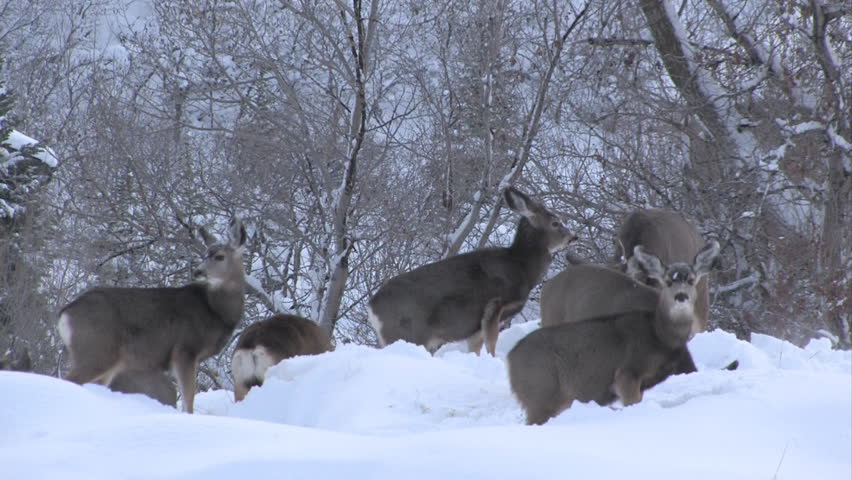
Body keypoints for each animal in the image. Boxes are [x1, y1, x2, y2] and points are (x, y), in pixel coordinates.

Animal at [57, 217, 247, 413]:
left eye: (219, 256)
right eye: (205, 255)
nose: (197, 272)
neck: (215, 311)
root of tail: (65, 314)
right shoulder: (185, 349)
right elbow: (188, 401)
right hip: (95, 350)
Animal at [367, 187, 577, 356]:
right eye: (556, 223)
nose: (573, 237)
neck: (521, 268)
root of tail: (372, 306)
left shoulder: (475, 327)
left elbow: (476, 348)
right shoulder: (495, 304)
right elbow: (491, 343)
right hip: (406, 333)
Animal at [508, 240, 720, 425]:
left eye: (691, 280)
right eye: (668, 281)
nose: (681, 296)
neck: (659, 335)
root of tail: (511, 358)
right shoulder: (627, 373)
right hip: (540, 394)